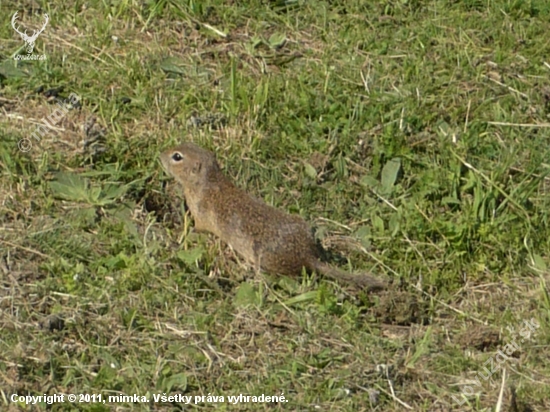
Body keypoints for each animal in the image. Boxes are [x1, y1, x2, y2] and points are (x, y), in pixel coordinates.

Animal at [160, 143, 388, 292]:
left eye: (177, 156)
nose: (161, 154)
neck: (208, 182)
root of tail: (308, 255)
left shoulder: (201, 217)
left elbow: (197, 229)